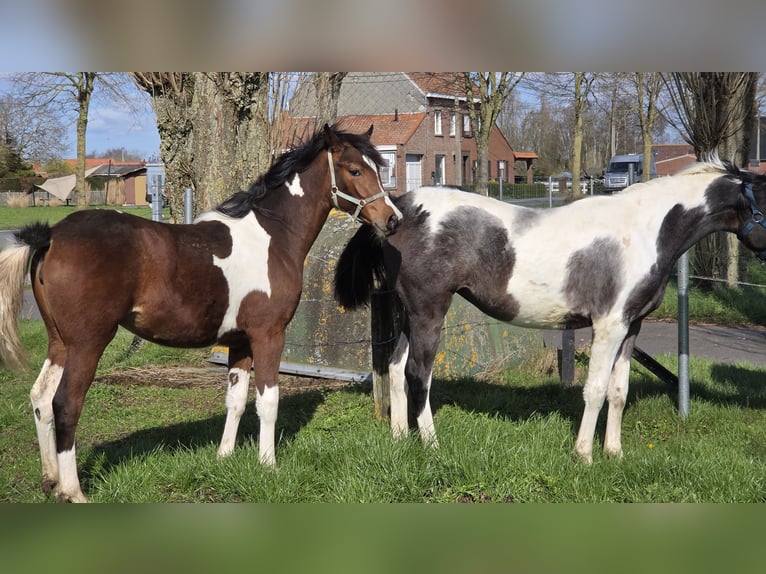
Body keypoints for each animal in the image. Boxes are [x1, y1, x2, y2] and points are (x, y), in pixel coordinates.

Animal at [0, 124, 401, 502]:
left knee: (40, 399)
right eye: (355, 169)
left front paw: (225, 457)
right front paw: (268, 464)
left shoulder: (239, 341)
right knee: (66, 404)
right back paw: (73, 491)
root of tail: (51, 236)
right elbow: (267, 400)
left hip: (60, 342)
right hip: (88, 343)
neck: (272, 236)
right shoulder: (269, 335)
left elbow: (236, 400)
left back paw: (50, 480)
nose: (392, 219)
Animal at [334, 159, 766, 464]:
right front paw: (584, 455)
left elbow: (618, 392)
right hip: (429, 312)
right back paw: (432, 445)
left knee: (394, 368)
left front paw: (614, 453)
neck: (646, 230)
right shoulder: (608, 326)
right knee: (417, 374)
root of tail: (401, 207)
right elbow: (595, 390)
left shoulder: (632, 327)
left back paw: (399, 438)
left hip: (412, 315)